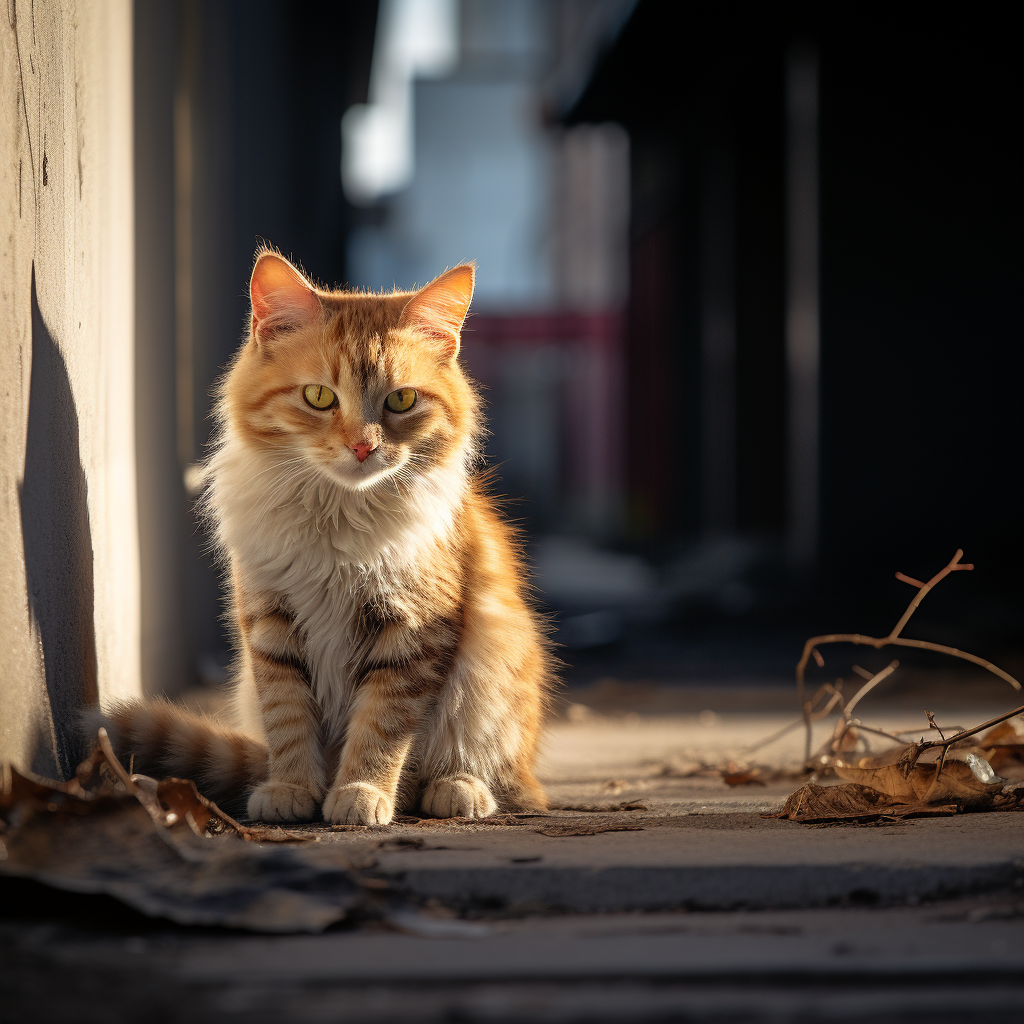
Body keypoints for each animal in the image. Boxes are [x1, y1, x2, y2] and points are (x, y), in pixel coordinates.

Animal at [97, 249, 552, 823]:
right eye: (318, 397)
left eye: (401, 401)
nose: (363, 447)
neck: (337, 518)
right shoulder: (272, 627)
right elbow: (289, 722)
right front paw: (293, 789)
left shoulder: (411, 636)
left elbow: (381, 731)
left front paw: (361, 792)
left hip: (492, 669)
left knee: (491, 772)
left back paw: (454, 788)